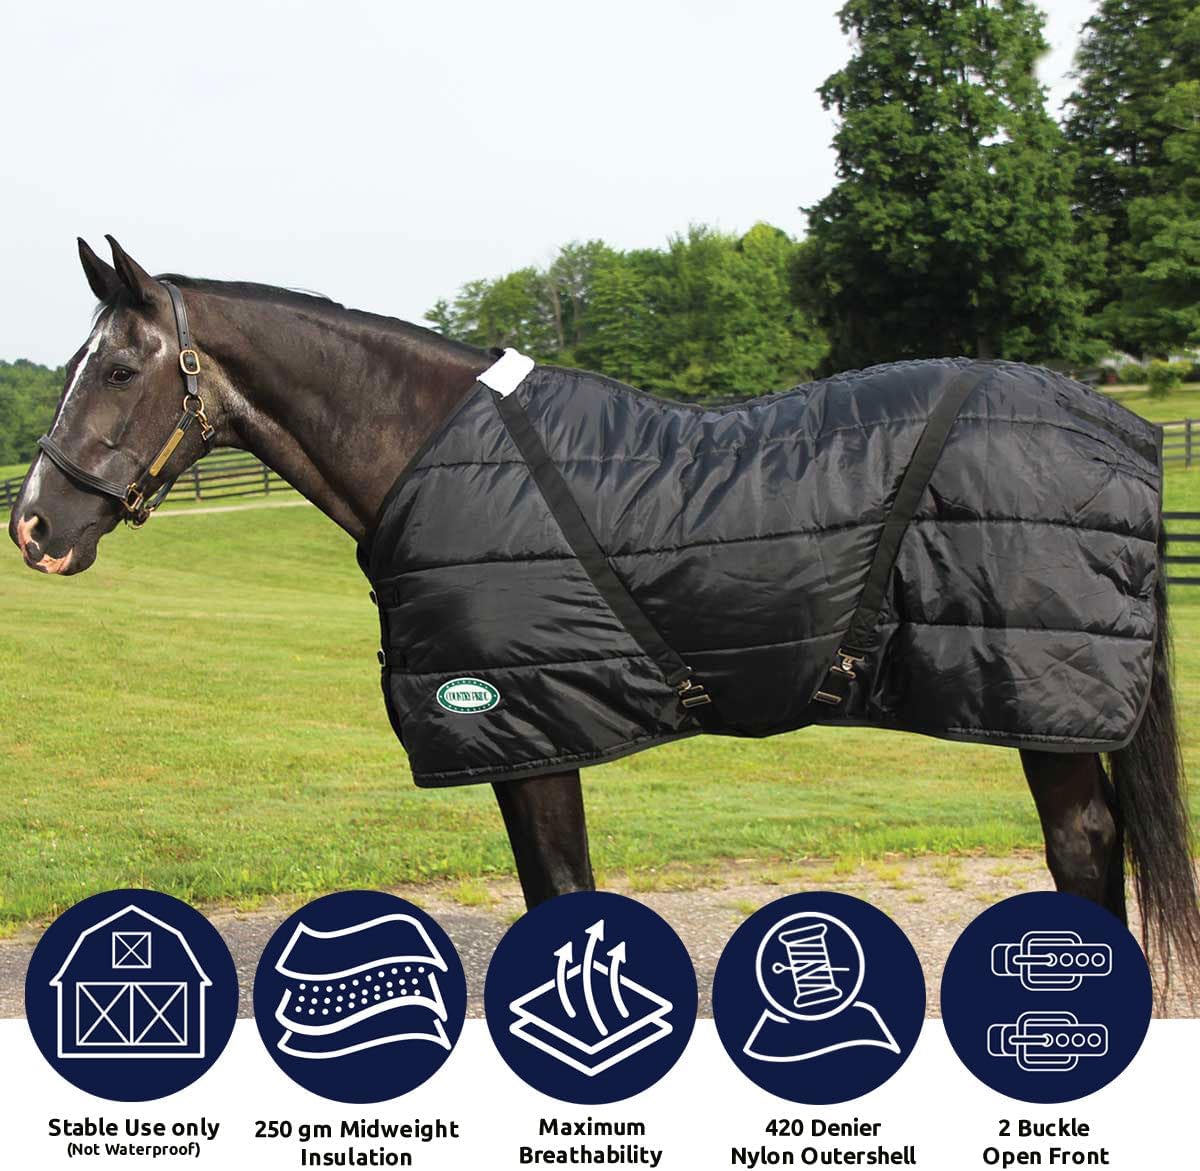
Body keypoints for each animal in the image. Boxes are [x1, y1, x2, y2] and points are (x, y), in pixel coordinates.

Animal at [9, 237, 1198, 983]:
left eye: (118, 369)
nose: (33, 526)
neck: (434, 455)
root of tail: (1122, 429)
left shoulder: (526, 729)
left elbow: (559, 888)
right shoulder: (534, 730)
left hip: (1043, 707)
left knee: (1084, 843)